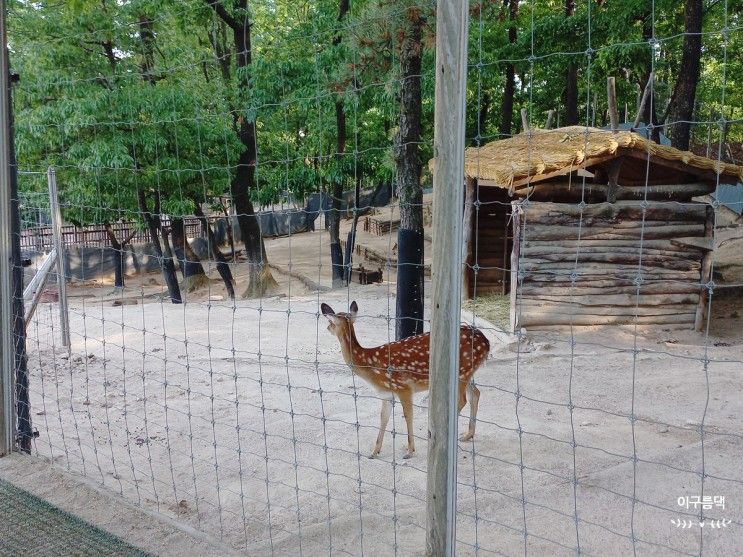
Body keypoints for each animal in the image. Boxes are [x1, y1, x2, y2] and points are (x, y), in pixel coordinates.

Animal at [322, 302, 492, 458]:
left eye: (331, 321)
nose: (327, 328)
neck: (370, 365)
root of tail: (486, 342)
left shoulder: (403, 387)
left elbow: (407, 414)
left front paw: (410, 450)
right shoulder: (386, 393)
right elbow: (383, 417)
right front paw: (375, 451)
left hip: (462, 372)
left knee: (462, 400)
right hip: (467, 372)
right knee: (475, 393)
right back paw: (468, 434)